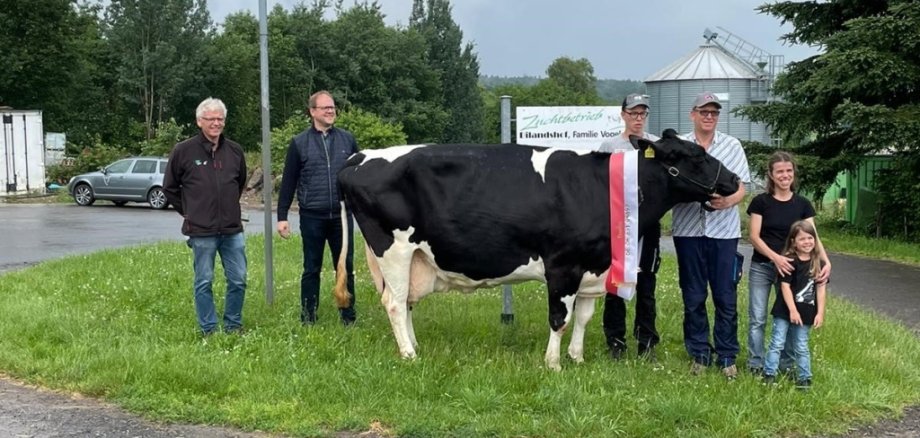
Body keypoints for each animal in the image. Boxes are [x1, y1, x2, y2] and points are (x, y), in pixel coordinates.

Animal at [334, 129, 736, 370]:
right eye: (695, 155)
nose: (733, 180)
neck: (600, 188)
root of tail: (359, 156)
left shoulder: (592, 266)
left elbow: (584, 317)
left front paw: (577, 358)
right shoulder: (563, 264)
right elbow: (560, 318)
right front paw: (553, 363)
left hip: (411, 257)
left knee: (405, 302)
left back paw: (415, 346)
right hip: (394, 249)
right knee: (394, 302)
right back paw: (409, 354)